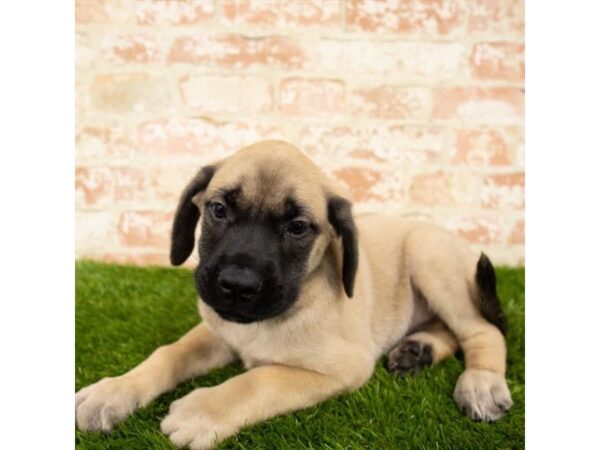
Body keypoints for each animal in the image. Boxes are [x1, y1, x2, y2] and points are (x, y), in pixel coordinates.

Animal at [76, 141, 510, 450]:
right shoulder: (217, 331)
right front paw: (113, 392)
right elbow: (167, 354)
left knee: (483, 330)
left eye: (298, 227)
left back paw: (481, 382)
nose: (237, 285)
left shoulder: (342, 367)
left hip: (428, 254)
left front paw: (203, 411)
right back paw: (418, 349)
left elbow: (261, 378)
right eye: (218, 209)